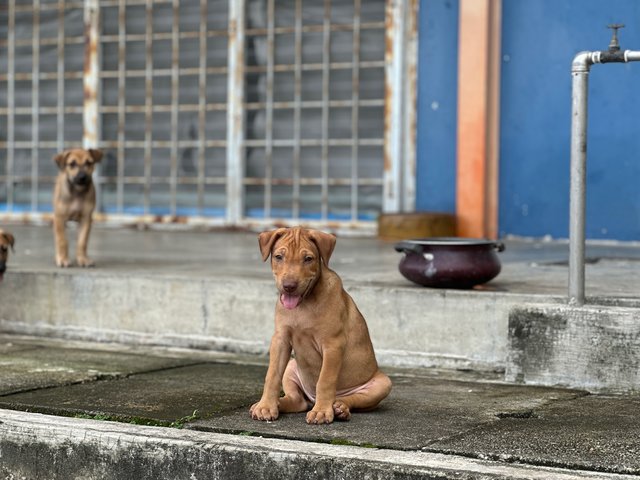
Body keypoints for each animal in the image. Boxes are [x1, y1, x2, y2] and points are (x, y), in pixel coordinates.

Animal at [249, 226, 390, 424]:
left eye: (308, 259)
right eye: (278, 257)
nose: (289, 286)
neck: (303, 304)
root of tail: (311, 399)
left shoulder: (333, 345)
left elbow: (325, 380)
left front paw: (322, 411)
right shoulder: (280, 340)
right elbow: (272, 375)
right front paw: (266, 406)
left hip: (383, 383)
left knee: (350, 398)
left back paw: (339, 408)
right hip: (292, 366)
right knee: (298, 400)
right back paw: (279, 403)